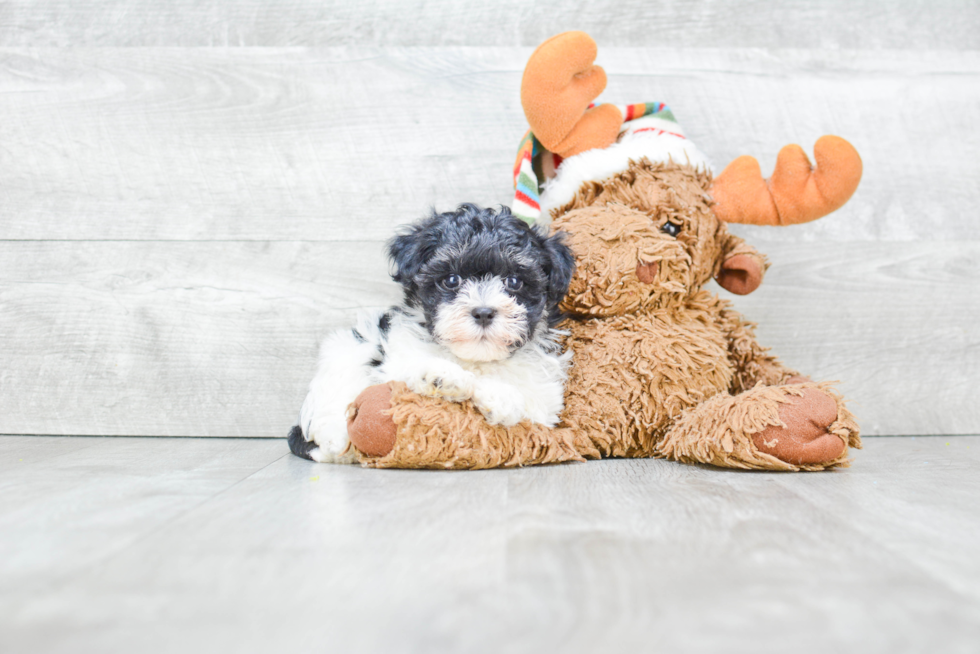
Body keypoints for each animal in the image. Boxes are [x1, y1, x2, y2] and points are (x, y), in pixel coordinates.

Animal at [290, 202, 580, 464]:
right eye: (452, 280)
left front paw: (500, 398)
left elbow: (531, 406)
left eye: (514, 281)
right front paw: (441, 376)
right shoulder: (395, 358)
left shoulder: (546, 402)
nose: (483, 312)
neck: (477, 359)